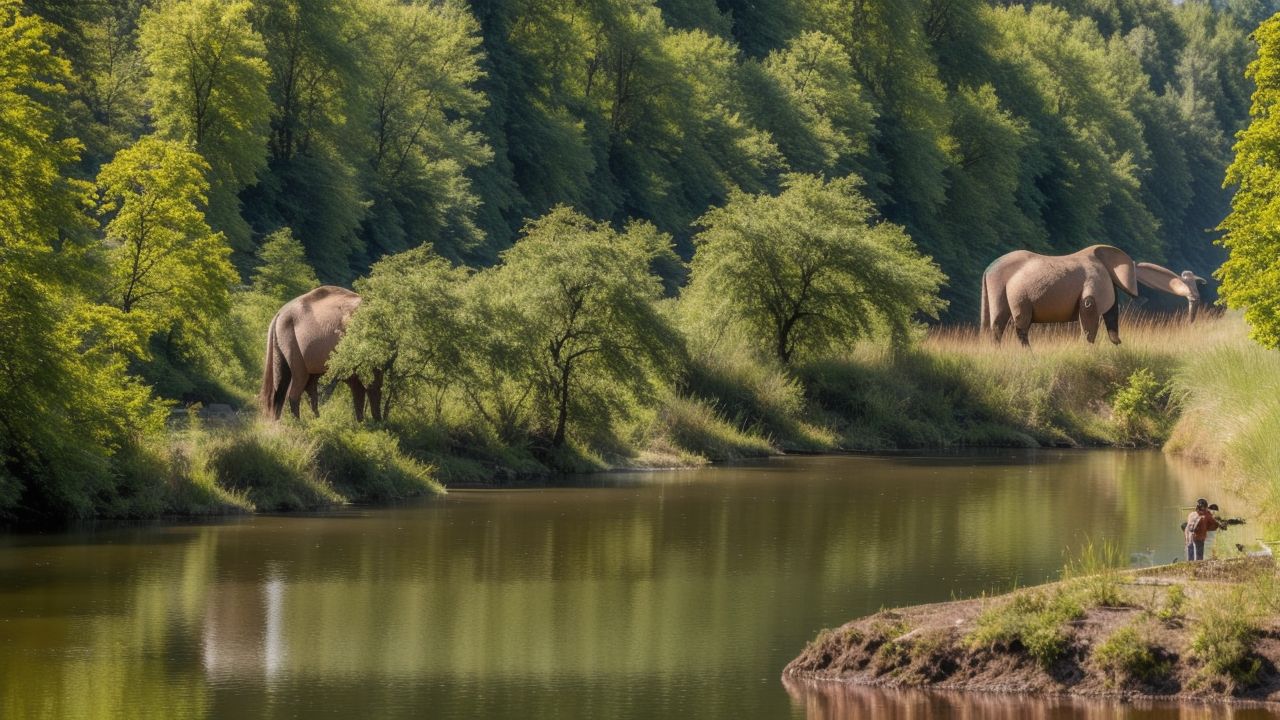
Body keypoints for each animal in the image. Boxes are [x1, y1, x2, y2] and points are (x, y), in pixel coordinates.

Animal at [257, 284, 381, 420]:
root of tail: (278, 315)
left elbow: (359, 384)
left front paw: (363, 422)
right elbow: (372, 382)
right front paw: (376, 422)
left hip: (284, 341)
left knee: (290, 382)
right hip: (292, 341)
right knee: (298, 381)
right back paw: (298, 421)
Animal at [977, 244, 1141, 345]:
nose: (1119, 342)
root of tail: (987, 270)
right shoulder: (1094, 280)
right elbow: (1088, 306)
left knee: (999, 323)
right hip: (1009, 291)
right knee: (1015, 325)